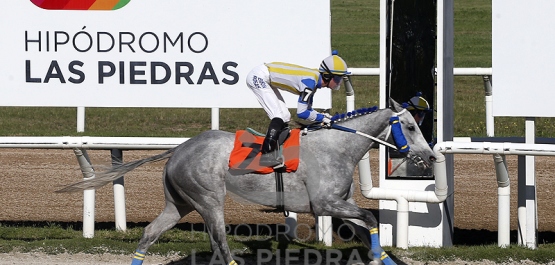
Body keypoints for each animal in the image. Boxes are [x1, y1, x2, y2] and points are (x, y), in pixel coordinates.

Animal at [58, 99, 436, 264]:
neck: (337, 147)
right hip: (209, 200)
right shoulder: (326, 203)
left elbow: (367, 226)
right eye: (411, 126)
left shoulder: (340, 205)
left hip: (178, 204)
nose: (432, 157)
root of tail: (180, 148)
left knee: (151, 233)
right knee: (221, 243)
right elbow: (371, 216)